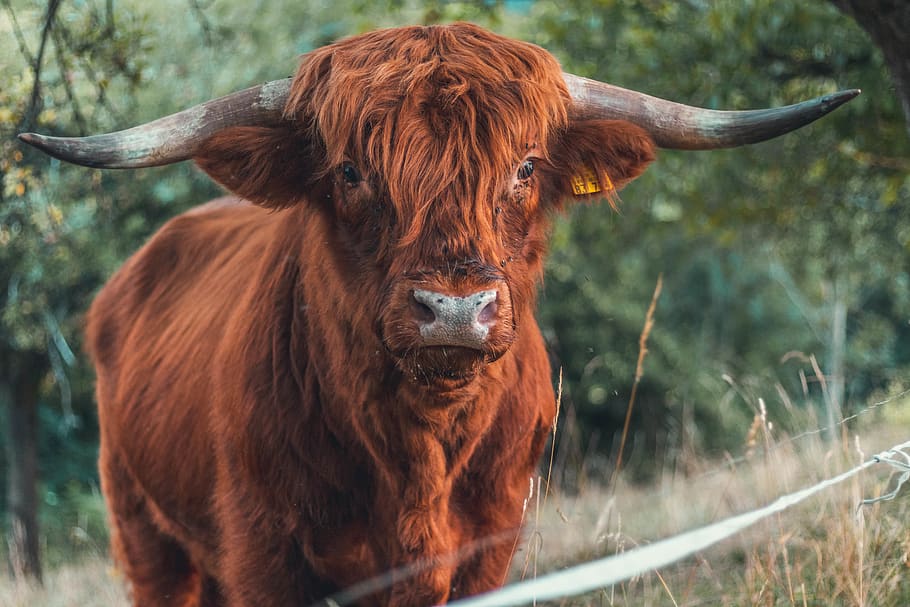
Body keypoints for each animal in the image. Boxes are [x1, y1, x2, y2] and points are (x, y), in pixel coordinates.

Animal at [21, 21, 860, 604]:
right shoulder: (262, 549)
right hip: (146, 533)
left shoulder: (488, 546)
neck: (416, 449)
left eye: (526, 166)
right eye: (351, 171)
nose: (454, 308)